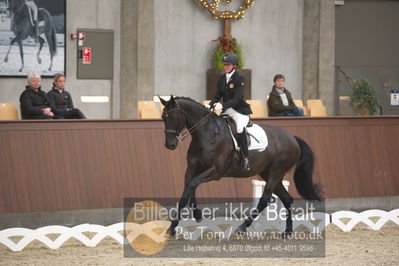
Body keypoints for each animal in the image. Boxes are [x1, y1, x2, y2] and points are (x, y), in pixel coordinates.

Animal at [159, 96, 322, 237]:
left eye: (174, 117)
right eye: (163, 118)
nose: (169, 145)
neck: (207, 134)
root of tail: (292, 138)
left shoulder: (215, 171)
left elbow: (192, 185)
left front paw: (191, 216)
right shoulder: (192, 170)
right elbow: (187, 190)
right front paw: (177, 225)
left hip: (276, 172)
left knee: (265, 199)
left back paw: (243, 226)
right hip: (268, 173)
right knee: (287, 199)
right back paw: (287, 232)